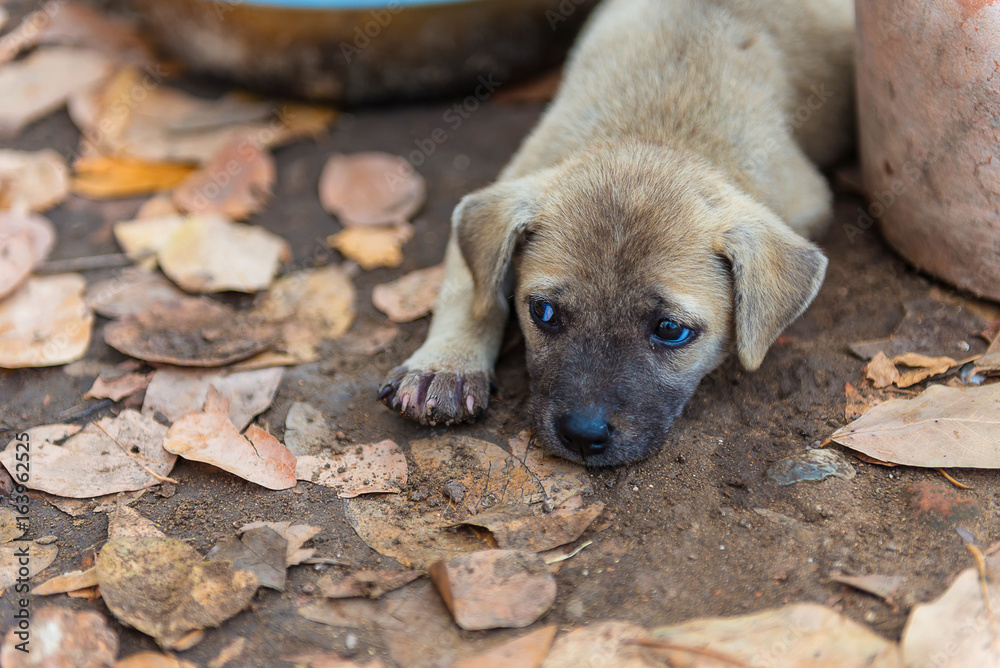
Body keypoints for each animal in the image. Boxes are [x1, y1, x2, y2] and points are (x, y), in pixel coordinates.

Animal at [376, 0, 852, 464]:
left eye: (670, 329)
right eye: (543, 312)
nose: (582, 437)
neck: (657, 135)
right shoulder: (507, 186)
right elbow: (474, 294)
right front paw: (445, 365)